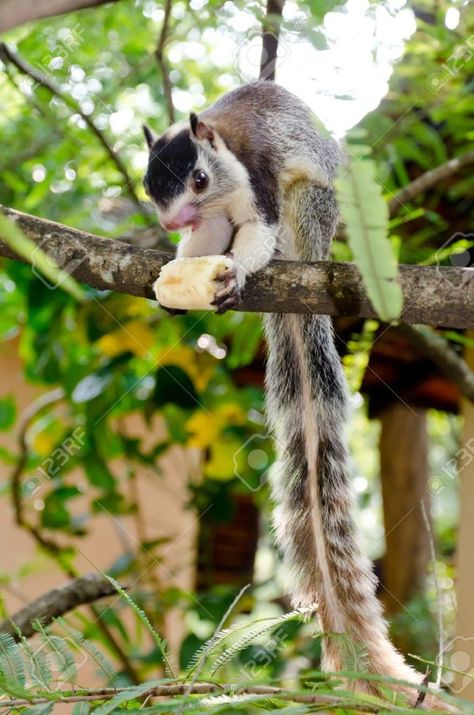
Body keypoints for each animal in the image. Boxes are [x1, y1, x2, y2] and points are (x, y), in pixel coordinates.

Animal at [143, 82, 452, 712]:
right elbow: (205, 242)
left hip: (310, 211)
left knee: (293, 222)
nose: (174, 219)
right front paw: (180, 273)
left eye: (199, 179)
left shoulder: (257, 181)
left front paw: (233, 270)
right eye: (148, 188)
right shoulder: (212, 222)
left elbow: (251, 233)